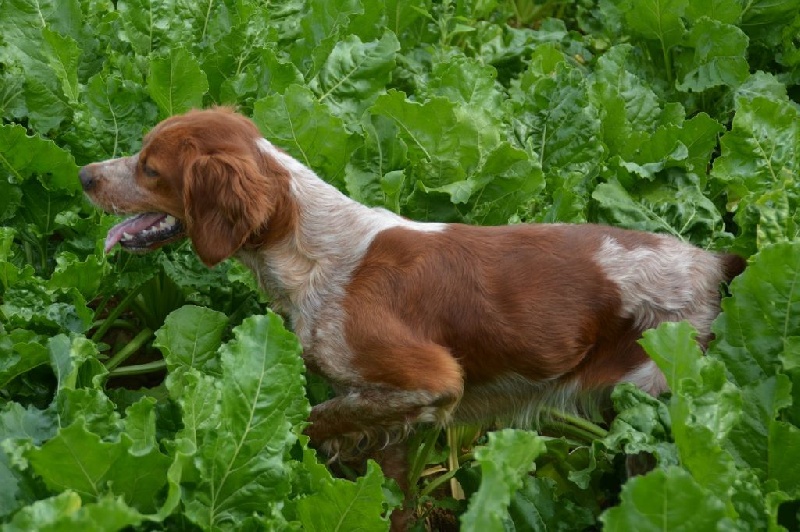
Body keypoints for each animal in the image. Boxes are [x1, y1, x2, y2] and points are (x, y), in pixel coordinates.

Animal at [78, 108, 748, 528]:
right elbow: (388, 486)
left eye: (149, 168)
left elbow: (313, 419)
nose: (84, 175)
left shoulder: (427, 382)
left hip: (658, 420)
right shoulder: (387, 409)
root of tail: (716, 263)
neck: (318, 254)